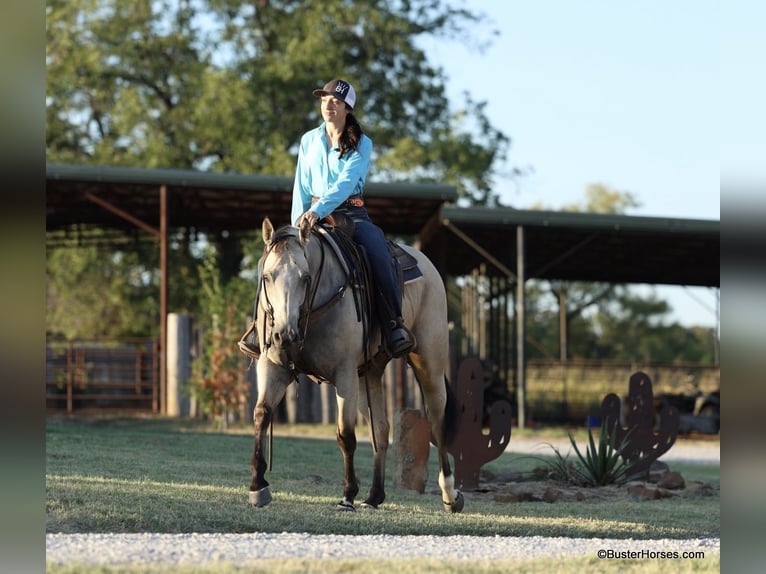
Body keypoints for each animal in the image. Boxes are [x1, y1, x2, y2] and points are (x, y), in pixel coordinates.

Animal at [249, 218, 464, 516]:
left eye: (305, 277)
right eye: (268, 277)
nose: (286, 335)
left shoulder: (344, 374)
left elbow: (345, 435)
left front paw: (348, 495)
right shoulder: (272, 366)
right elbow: (261, 414)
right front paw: (258, 486)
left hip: (429, 362)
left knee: (437, 421)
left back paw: (450, 495)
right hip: (368, 375)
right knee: (381, 431)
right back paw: (374, 495)